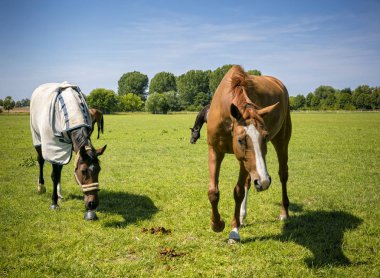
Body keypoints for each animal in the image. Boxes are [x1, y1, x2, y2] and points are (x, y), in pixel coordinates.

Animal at [29, 81, 107, 220]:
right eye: (83, 171)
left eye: (99, 170)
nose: (92, 203)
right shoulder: (54, 147)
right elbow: (54, 175)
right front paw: (54, 203)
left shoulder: (66, 149)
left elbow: (58, 172)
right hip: (37, 138)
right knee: (41, 161)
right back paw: (41, 187)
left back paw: (59, 193)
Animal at [206, 64, 292, 241]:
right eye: (241, 140)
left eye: (265, 137)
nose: (264, 181)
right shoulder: (215, 150)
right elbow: (213, 192)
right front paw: (217, 224)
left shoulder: (244, 160)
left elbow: (238, 192)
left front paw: (234, 231)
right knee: (248, 182)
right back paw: (242, 216)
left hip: (281, 141)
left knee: (283, 174)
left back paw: (284, 212)